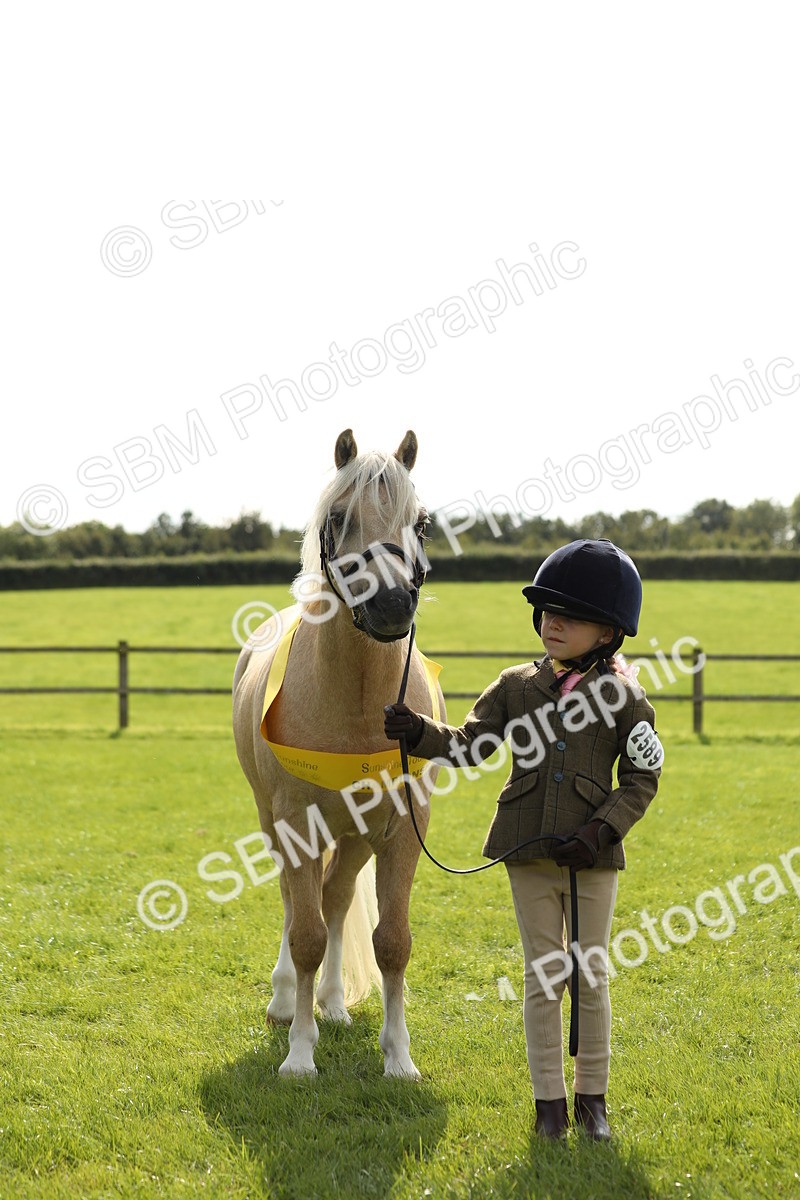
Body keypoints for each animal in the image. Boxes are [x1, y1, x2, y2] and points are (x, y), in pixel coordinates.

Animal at [232, 428, 444, 1078]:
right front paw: (300, 1054)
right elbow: (303, 935)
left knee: (336, 897)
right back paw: (287, 1004)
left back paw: (331, 1003)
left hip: (352, 837)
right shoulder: (296, 824)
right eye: (338, 517)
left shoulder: (401, 830)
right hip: (276, 822)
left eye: (421, 523)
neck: (356, 702)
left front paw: (399, 1058)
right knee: (295, 903)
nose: (392, 605)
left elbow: (391, 942)